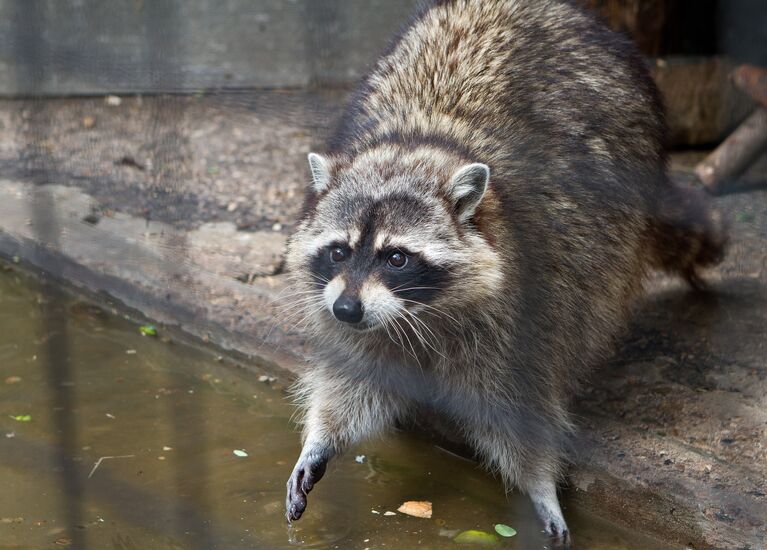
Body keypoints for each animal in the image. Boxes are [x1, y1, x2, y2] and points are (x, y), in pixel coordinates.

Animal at [282, 0, 728, 544]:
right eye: (339, 252)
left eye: (396, 258)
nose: (346, 309)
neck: (425, 142)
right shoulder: (351, 309)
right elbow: (354, 378)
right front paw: (321, 438)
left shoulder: (528, 297)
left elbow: (517, 405)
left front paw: (540, 484)